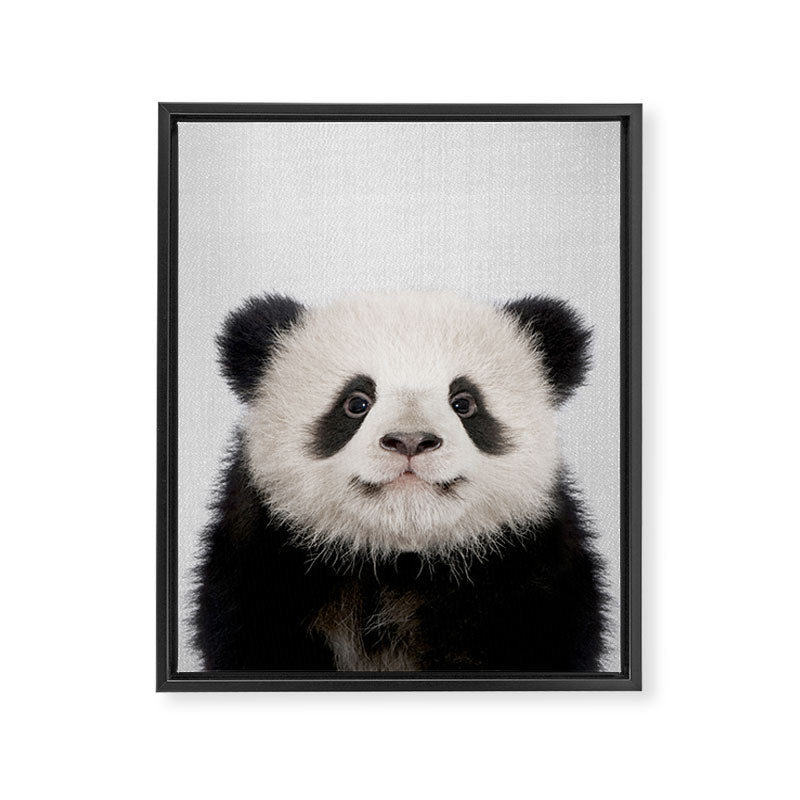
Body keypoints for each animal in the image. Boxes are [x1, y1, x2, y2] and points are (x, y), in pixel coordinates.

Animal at [193, 291, 607, 671]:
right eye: (356, 403)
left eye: (464, 403)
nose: (410, 440)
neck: (398, 564)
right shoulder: (264, 569)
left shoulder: (531, 576)